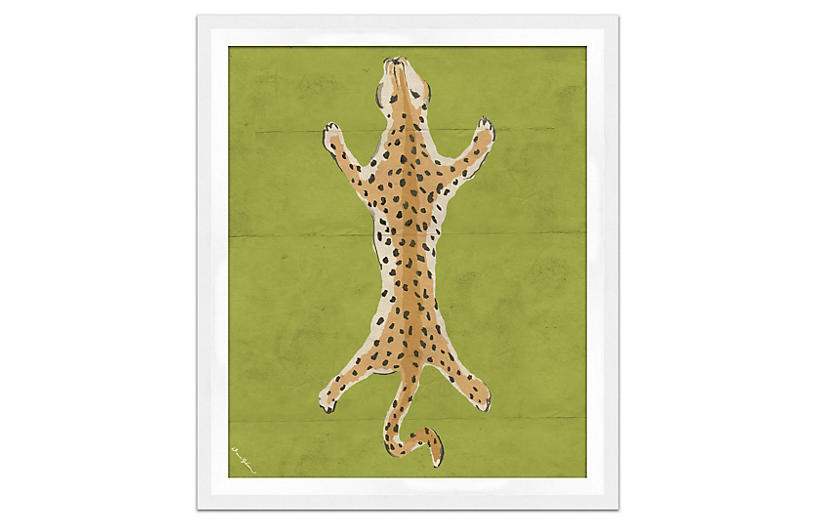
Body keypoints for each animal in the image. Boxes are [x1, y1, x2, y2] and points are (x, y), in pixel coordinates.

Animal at [318, 56, 496, 468]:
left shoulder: (373, 183)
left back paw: (327, 396)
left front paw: (334, 138)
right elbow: (466, 162)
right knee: (461, 380)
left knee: (348, 376)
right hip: (440, 353)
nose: (394, 58)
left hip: (375, 352)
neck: (406, 123)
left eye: (397, 76)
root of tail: (413, 360)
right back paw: (482, 394)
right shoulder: (445, 173)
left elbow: (349, 165)